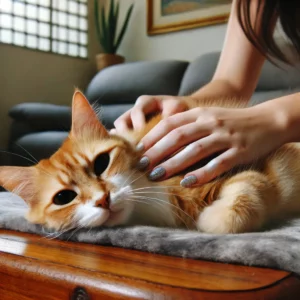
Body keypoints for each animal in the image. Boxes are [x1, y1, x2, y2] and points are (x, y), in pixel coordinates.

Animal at [0, 90, 300, 236]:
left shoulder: (257, 168)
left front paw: (210, 221)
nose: (102, 200)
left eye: (101, 163)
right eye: (64, 197)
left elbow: (244, 194)